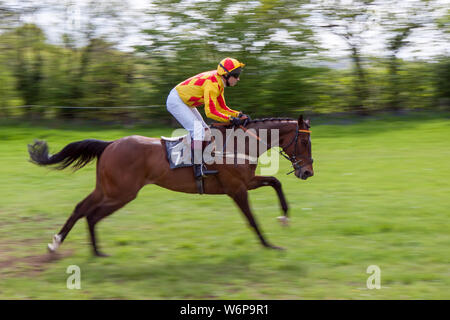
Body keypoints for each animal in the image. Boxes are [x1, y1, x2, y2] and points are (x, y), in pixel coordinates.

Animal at [27, 114, 312, 256]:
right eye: (305, 142)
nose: (308, 171)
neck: (240, 143)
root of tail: (110, 144)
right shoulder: (236, 189)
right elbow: (252, 219)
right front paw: (269, 245)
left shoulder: (247, 182)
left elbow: (275, 182)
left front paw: (284, 217)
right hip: (121, 192)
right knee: (91, 213)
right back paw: (87, 249)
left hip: (108, 189)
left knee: (82, 209)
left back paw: (66, 245)